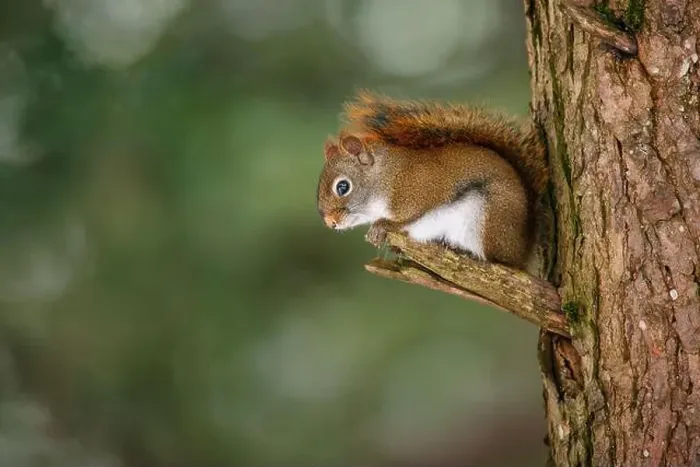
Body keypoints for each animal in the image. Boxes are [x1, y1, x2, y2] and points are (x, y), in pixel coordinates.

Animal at [316, 91, 548, 268]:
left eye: (343, 187)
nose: (330, 223)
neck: (387, 176)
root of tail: (522, 248)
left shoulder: (417, 190)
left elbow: (408, 217)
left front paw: (383, 226)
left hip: (491, 218)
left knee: (498, 258)